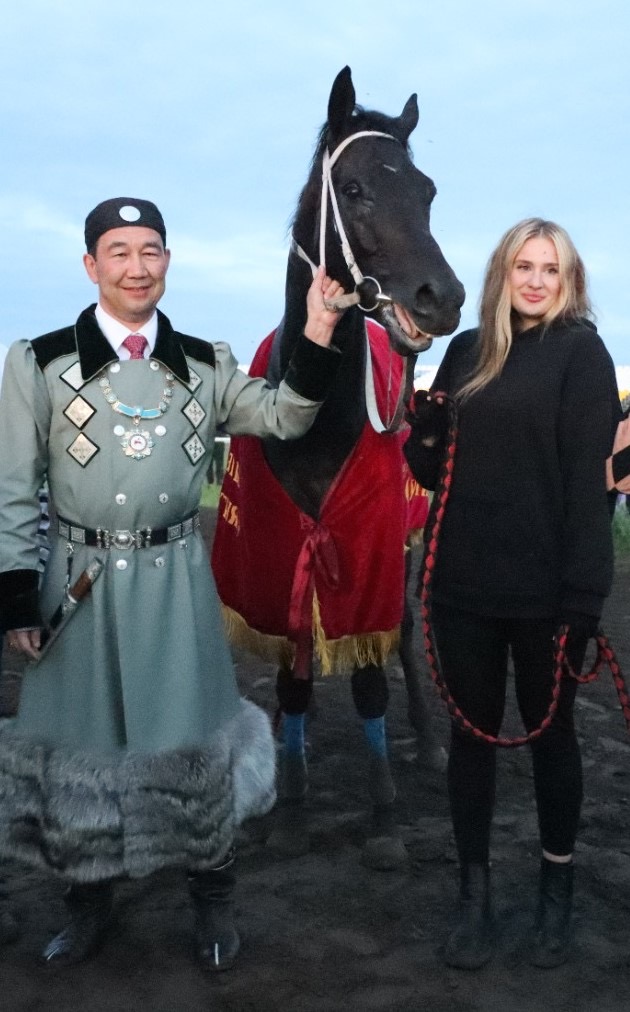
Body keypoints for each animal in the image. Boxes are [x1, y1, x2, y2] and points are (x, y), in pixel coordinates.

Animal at [212, 67, 464, 868]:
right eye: (353, 188)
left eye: (428, 191)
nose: (442, 297)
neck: (317, 421)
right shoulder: (282, 538)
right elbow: (293, 673)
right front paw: (290, 799)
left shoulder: (368, 537)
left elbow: (369, 674)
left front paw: (383, 816)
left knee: (407, 629)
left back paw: (428, 742)